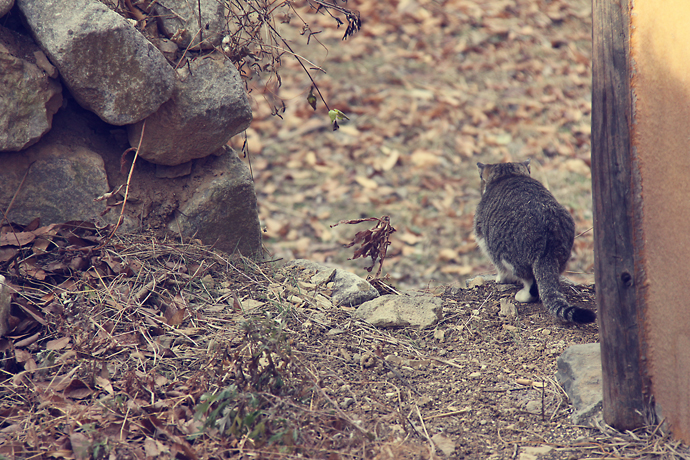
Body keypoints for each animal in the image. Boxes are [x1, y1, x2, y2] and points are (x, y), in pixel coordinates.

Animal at [470, 161, 592, 324]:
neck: (508, 175)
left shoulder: (485, 240)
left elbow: (500, 270)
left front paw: (500, 279)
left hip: (509, 256)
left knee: (529, 283)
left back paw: (522, 294)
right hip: (562, 255)